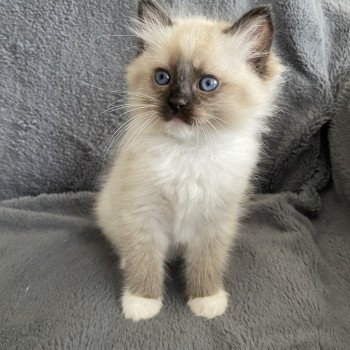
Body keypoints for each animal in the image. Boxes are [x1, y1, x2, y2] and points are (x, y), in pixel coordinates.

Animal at [96, 0, 284, 322]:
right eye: (163, 77)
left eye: (207, 84)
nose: (177, 104)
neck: (189, 152)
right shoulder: (142, 215)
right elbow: (144, 261)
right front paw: (142, 303)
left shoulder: (214, 220)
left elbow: (206, 265)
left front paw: (205, 300)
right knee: (127, 248)